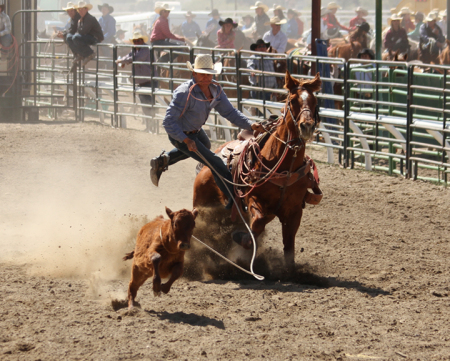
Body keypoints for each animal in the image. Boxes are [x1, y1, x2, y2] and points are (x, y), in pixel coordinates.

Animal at [192, 71, 322, 268]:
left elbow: (289, 246)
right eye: (292, 100)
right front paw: (240, 237)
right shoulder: (253, 198)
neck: (285, 168)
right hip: (200, 204)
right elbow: (257, 224)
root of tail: (206, 166)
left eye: (315, 101)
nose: (307, 126)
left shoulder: (294, 211)